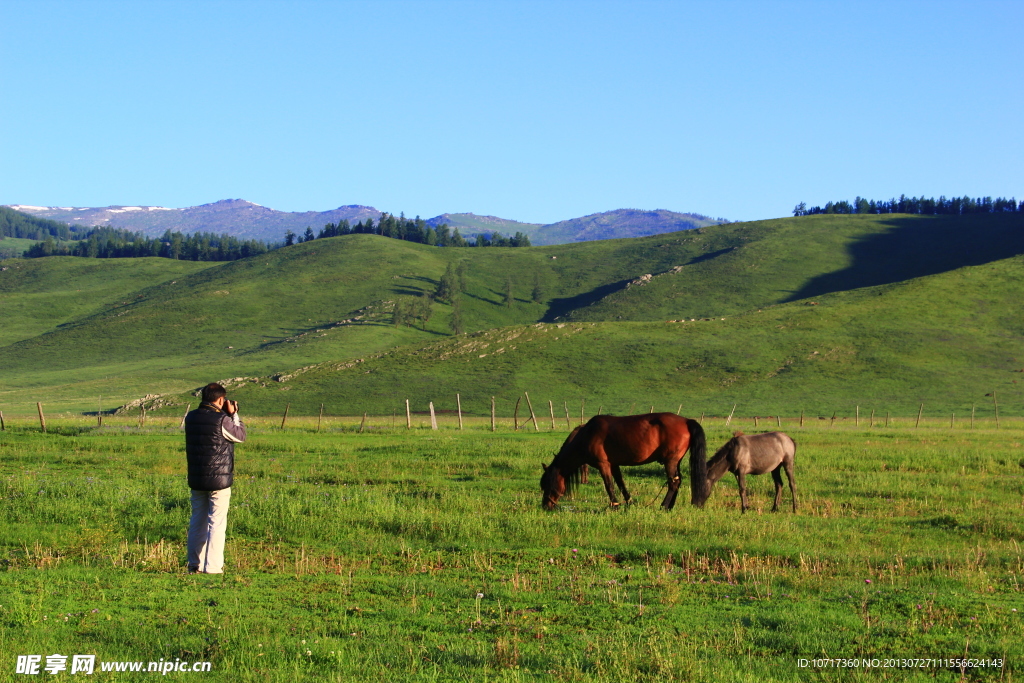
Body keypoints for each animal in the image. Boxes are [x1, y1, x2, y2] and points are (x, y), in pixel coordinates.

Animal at [544, 413, 704, 509]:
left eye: (548, 485)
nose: (545, 506)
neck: (587, 434)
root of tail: (686, 421)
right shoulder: (614, 464)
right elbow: (621, 483)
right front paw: (629, 502)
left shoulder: (603, 464)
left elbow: (609, 485)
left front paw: (614, 505)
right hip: (676, 461)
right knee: (678, 481)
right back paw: (670, 506)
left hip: (670, 461)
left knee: (673, 482)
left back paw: (664, 506)